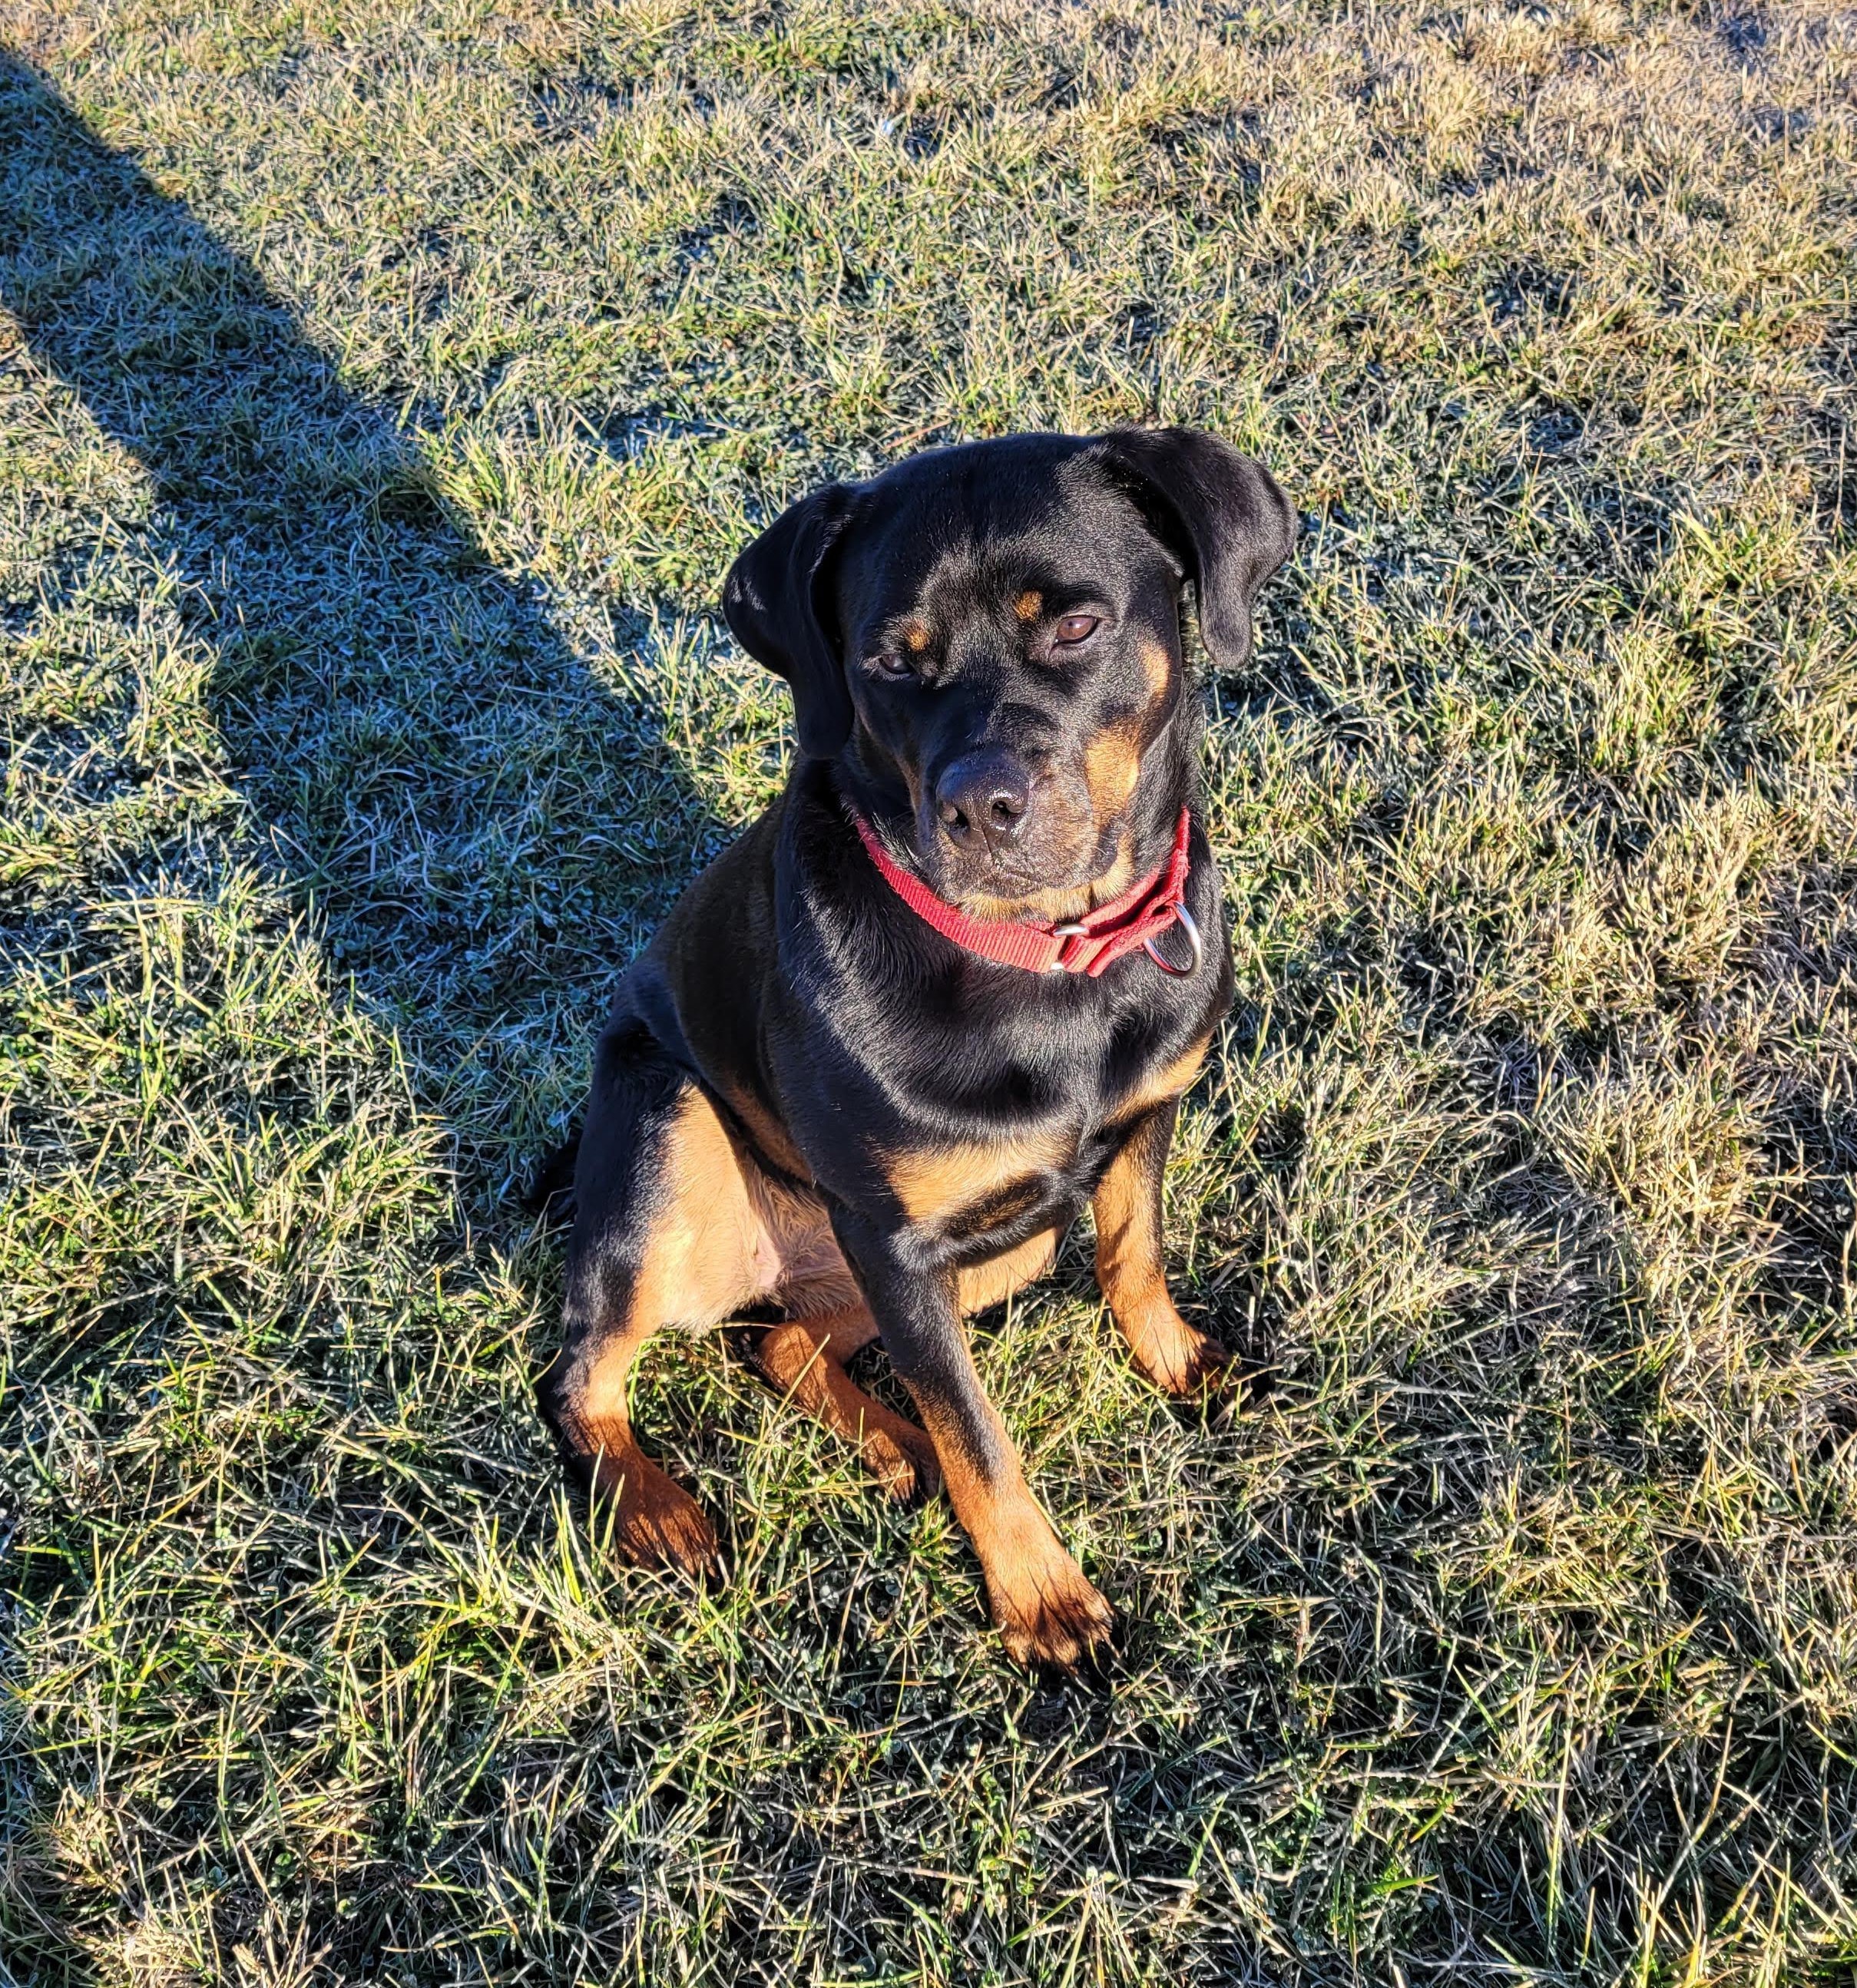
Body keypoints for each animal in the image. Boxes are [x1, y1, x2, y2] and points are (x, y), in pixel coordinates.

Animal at [536, 427, 1296, 1669]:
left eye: (1076, 626)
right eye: (893, 659)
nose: (979, 804)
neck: (1047, 965)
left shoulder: (1143, 1119)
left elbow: (1133, 1255)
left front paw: (1176, 1362)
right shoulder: (896, 1239)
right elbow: (980, 1436)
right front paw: (1043, 1602)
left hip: (989, 1253)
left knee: (783, 1348)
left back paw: (892, 1445)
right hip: (672, 1138)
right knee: (580, 1376)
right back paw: (657, 1510)